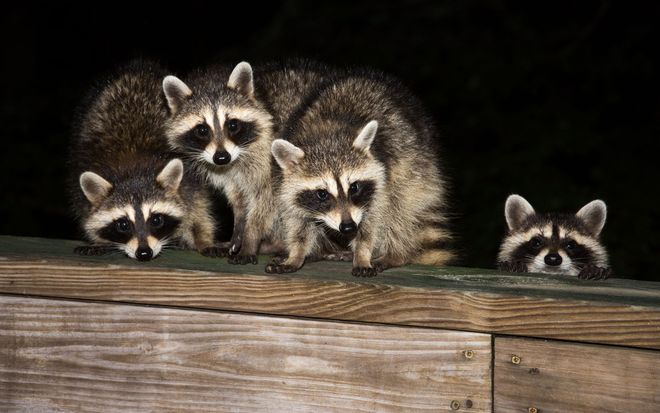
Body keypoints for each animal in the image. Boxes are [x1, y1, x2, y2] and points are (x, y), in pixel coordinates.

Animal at [69, 61, 221, 260]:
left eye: (156, 220)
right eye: (123, 225)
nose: (144, 253)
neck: (132, 167)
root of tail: (138, 68)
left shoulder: (190, 177)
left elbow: (198, 208)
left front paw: (203, 239)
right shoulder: (83, 170)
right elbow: (87, 215)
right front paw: (98, 240)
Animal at [162, 60, 331, 264]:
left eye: (233, 125)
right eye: (202, 130)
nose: (221, 157)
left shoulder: (270, 158)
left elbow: (266, 200)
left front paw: (250, 239)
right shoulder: (227, 173)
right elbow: (238, 198)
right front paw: (239, 228)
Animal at [267, 71, 454, 276]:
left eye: (354, 187)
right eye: (322, 194)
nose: (348, 226)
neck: (326, 136)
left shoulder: (382, 181)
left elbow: (371, 221)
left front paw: (363, 253)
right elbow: (299, 221)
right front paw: (296, 254)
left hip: (415, 166)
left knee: (403, 208)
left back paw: (395, 254)